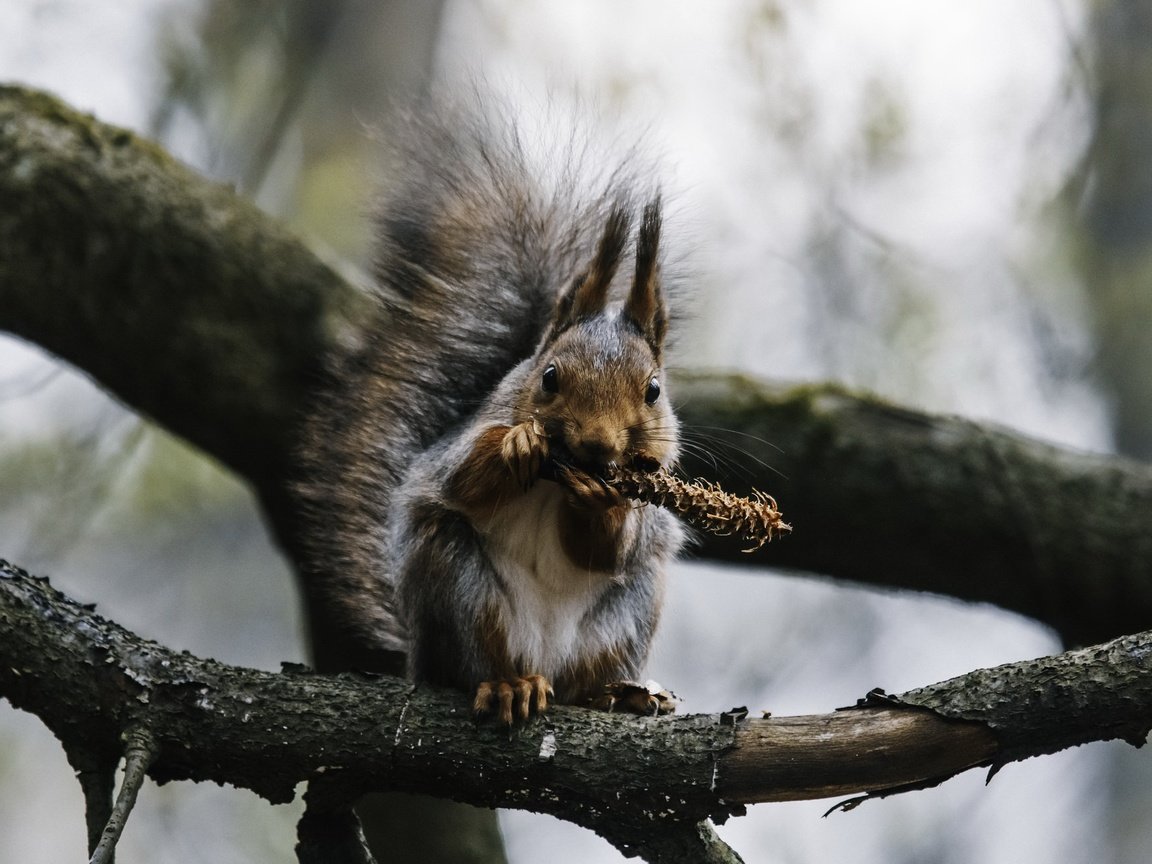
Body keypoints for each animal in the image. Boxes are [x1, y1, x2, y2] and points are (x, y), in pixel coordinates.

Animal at [294, 93, 681, 723]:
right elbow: (461, 477)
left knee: (589, 667)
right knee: (476, 662)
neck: (555, 482)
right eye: (549, 377)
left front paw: (603, 501)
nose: (597, 446)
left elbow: (608, 549)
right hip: (459, 590)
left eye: (652, 391)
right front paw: (516, 446)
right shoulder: (466, 444)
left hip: (629, 612)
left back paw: (614, 693)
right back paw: (507, 685)